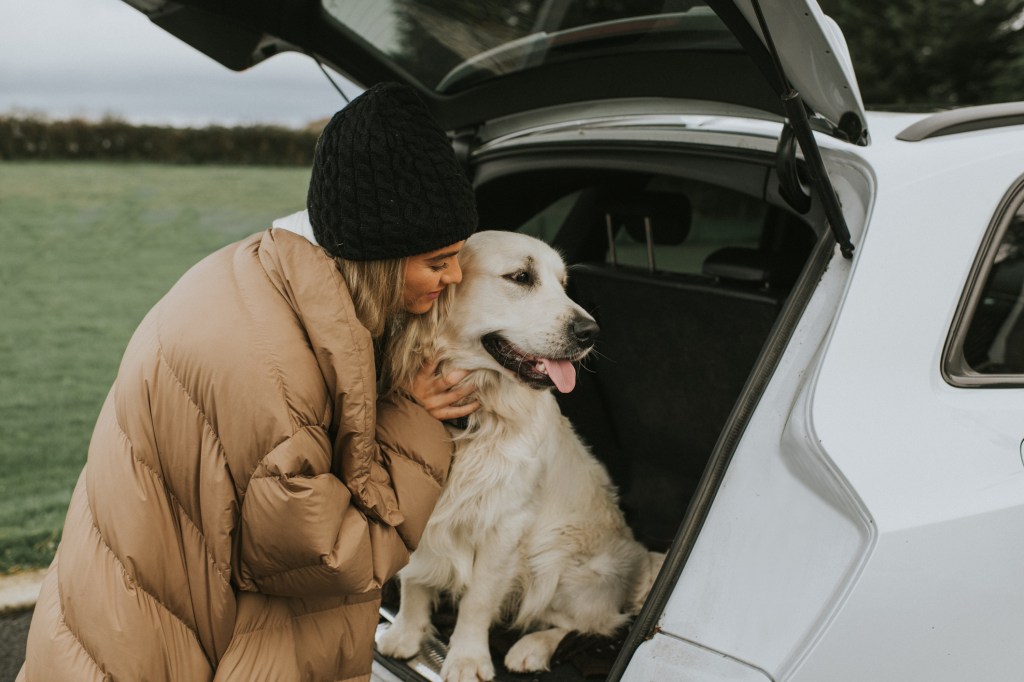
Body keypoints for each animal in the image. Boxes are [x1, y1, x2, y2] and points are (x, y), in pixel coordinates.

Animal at [376, 229, 663, 679]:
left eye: (563, 284)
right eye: (521, 277)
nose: (590, 332)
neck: (474, 414)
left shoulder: (505, 523)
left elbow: (477, 600)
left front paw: (467, 658)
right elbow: (413, 578)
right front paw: (407, 631)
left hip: (557, 557)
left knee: (589, 623)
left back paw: (532, 649)